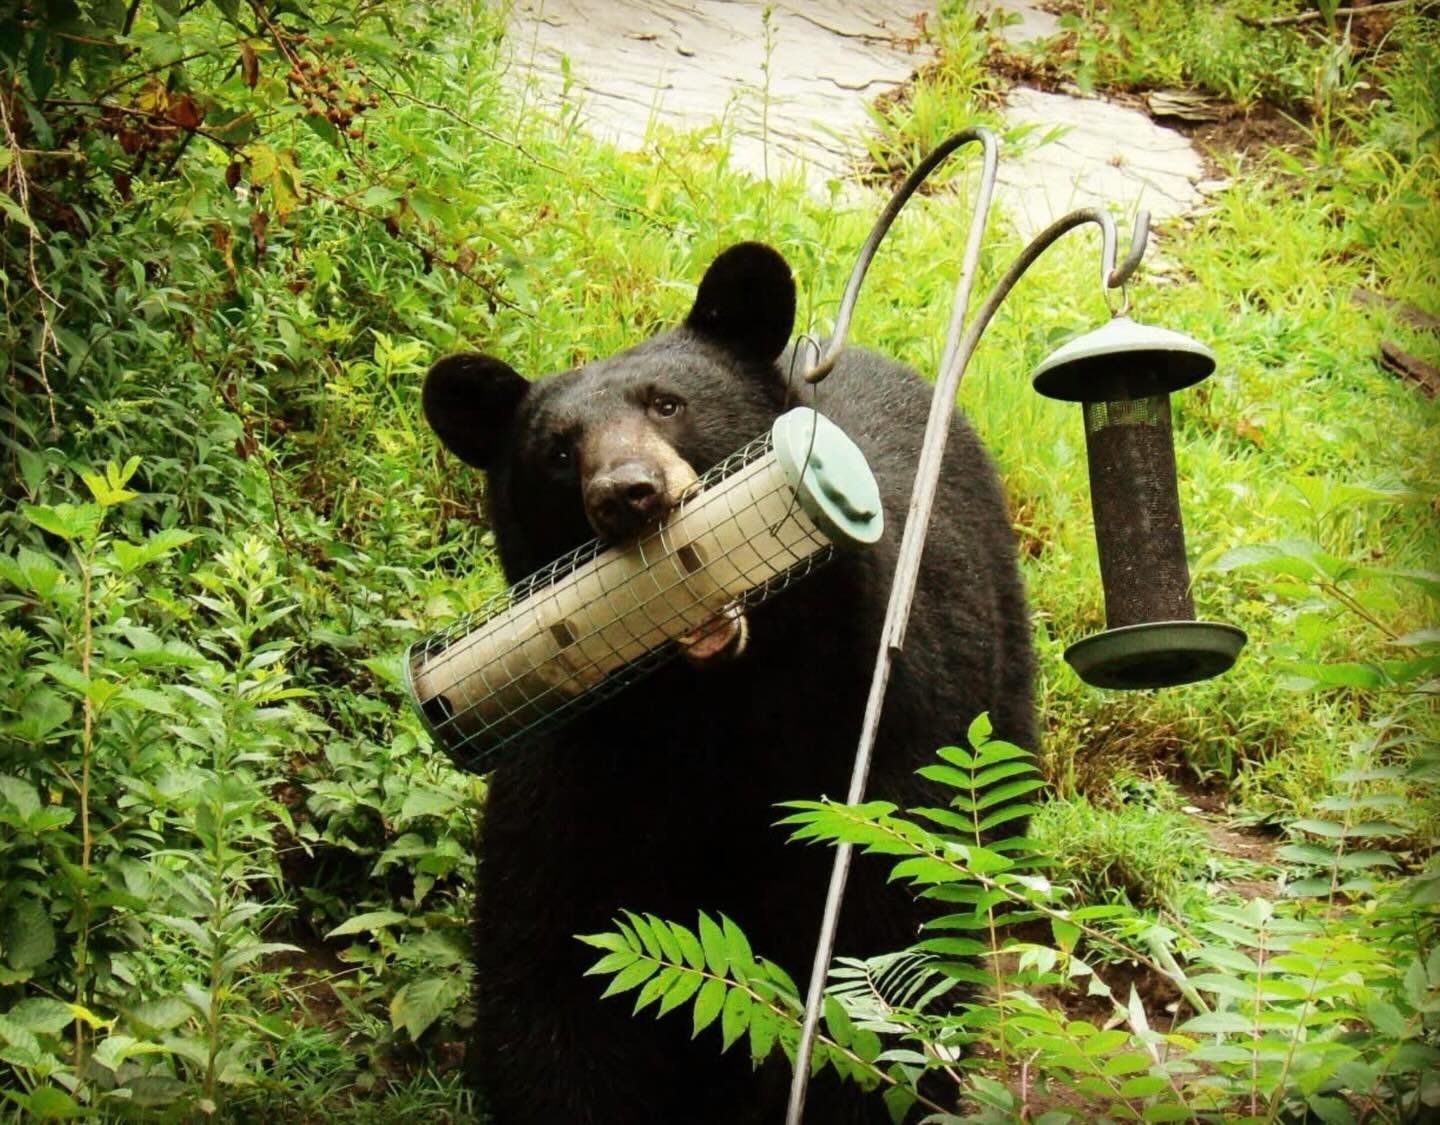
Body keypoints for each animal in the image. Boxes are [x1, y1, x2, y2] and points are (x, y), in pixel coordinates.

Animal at [421, 242, 1036, 1124]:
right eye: (559, 451)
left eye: (667, 403)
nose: (628, 493)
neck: (715, 709)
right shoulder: (582, 763)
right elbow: (558, 954)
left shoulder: (875, 726)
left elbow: (877, 942)